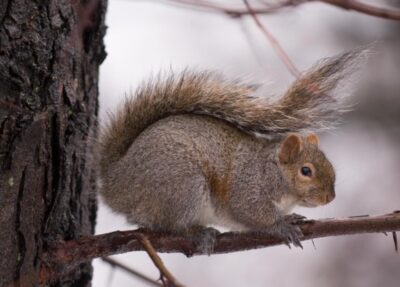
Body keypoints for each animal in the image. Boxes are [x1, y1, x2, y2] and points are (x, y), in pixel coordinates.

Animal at [97, 48, 366, 251]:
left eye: (328, 163)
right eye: (306, 171)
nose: (330, 198)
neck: (270, 171)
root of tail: (115, 181)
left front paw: (291, 217)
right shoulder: (248, 191)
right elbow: (254, 214)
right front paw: (282, 227)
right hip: (182, 185)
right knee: (171, 225)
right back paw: (197, 233)